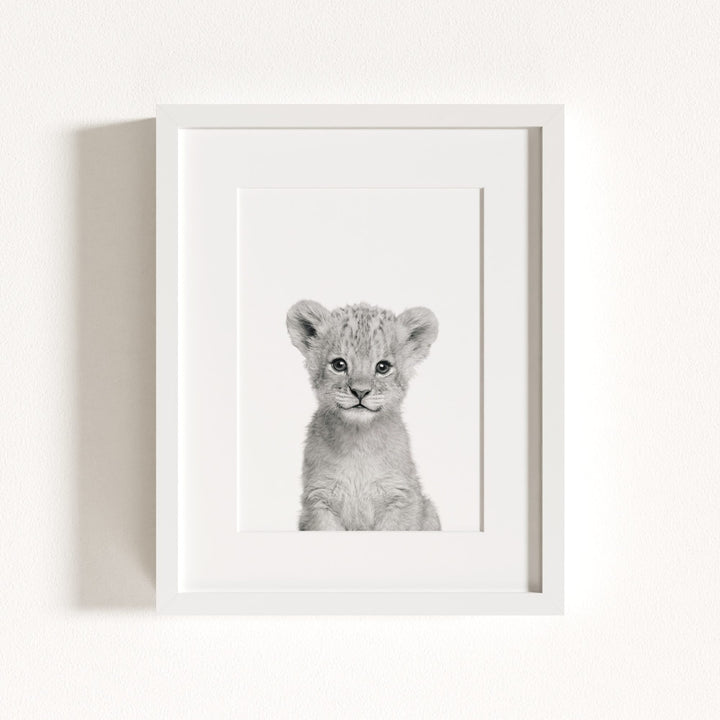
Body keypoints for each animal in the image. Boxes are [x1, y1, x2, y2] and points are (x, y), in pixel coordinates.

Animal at [286, 300, 441, 531]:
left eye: (383, 367)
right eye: (339, 364)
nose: (360, 392)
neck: (358, 442)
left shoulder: (401, 498)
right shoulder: (318, 499)